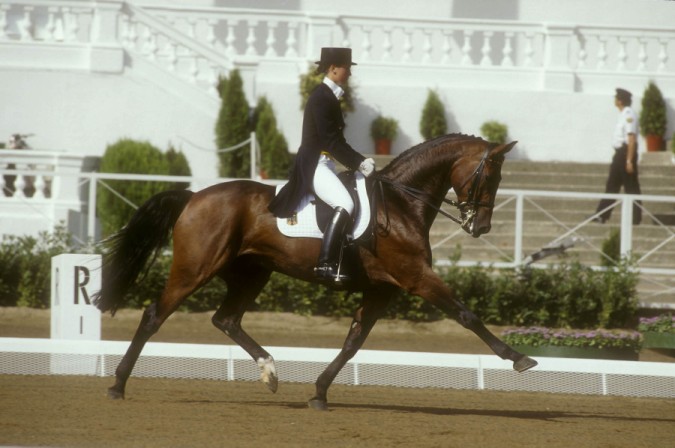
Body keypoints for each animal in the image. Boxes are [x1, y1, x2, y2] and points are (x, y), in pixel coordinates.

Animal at [93, 133, 537, 411]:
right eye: (489, 175)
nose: (481, 228)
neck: (400, 205)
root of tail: (194, 196)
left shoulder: (384, 289)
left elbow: (353, 342)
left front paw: (320, 393)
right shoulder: (416, 278)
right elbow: (466, 315)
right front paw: (519, 358)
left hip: (253, 272)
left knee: (227, 319)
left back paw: (270, 372)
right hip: (195, 268)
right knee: (155, 315)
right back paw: (116, 385)